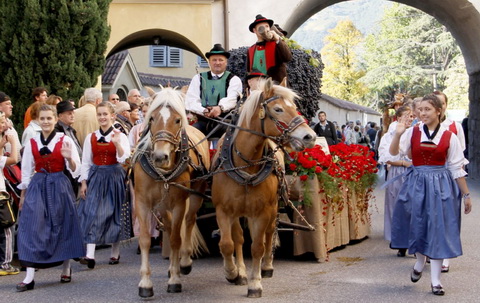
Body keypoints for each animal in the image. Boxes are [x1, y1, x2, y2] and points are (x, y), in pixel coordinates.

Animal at [134, 86, 211, 298]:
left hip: (195, 194)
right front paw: (145, 283)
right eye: (152, 118)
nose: (160, 156)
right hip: (162, 205)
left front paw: (175, 279)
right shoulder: (142, 203)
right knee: (168, 227)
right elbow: (145, 240)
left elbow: (177, 239)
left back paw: (183, 262)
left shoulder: (179, 203)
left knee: (189, 221)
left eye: (177, 120)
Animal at [210, 77, 316, 298]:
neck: (245, 166)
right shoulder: (224, 210)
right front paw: (233, 272)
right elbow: (228, 244)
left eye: (295, 107)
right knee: (238, 238)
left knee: (269, 233)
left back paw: (266, 267)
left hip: (273, 207)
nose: (309, 137)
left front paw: (255, 283)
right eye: (278, 109)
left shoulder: (262, 211)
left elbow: (258, 246)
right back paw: (241, 271)